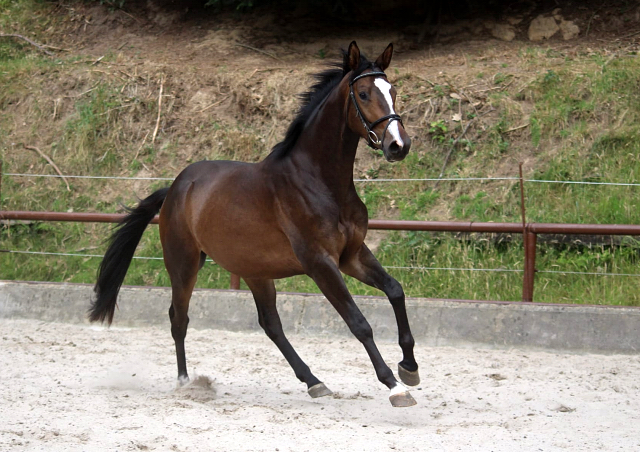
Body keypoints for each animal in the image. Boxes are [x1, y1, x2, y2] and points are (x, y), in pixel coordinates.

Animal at [89, 41, 420, 406]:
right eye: (363, 94)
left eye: (392, 91)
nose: (398, 145)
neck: (320, 182)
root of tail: (176, 187)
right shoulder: (321, 264)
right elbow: (359, 323)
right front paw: (395, 386)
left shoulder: (352, 255)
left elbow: (395, 290)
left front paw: (409, 368)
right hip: (184, 264)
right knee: (179, 317)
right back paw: (185, 382)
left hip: (255, 271)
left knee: (270, 324)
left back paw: (314, 382)